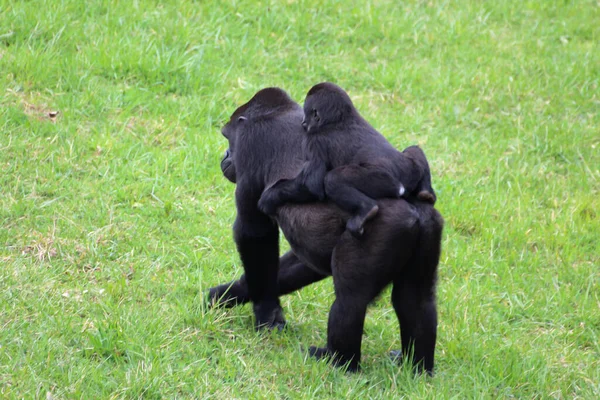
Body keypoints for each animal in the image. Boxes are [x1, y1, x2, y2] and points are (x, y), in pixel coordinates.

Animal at [258, 82, 436, 238]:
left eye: (307, 114)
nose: (303, 123)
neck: (341, 117)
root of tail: (403, 180)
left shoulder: (313, 141)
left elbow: (311, 185)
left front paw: (271, 197)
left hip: (384, 180)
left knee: (334, 179)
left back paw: (366, 210)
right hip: (410, 167)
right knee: (414, 151)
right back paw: (426, 192)